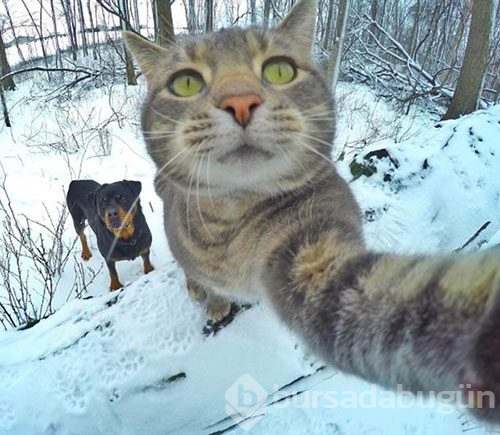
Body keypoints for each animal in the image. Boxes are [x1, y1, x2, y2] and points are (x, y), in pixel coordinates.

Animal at [124, 0, 500, 422]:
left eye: (279, 69)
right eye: (185, 82)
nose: (240, 101)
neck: (232, 223)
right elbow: (198, 273)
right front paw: (211, 296)